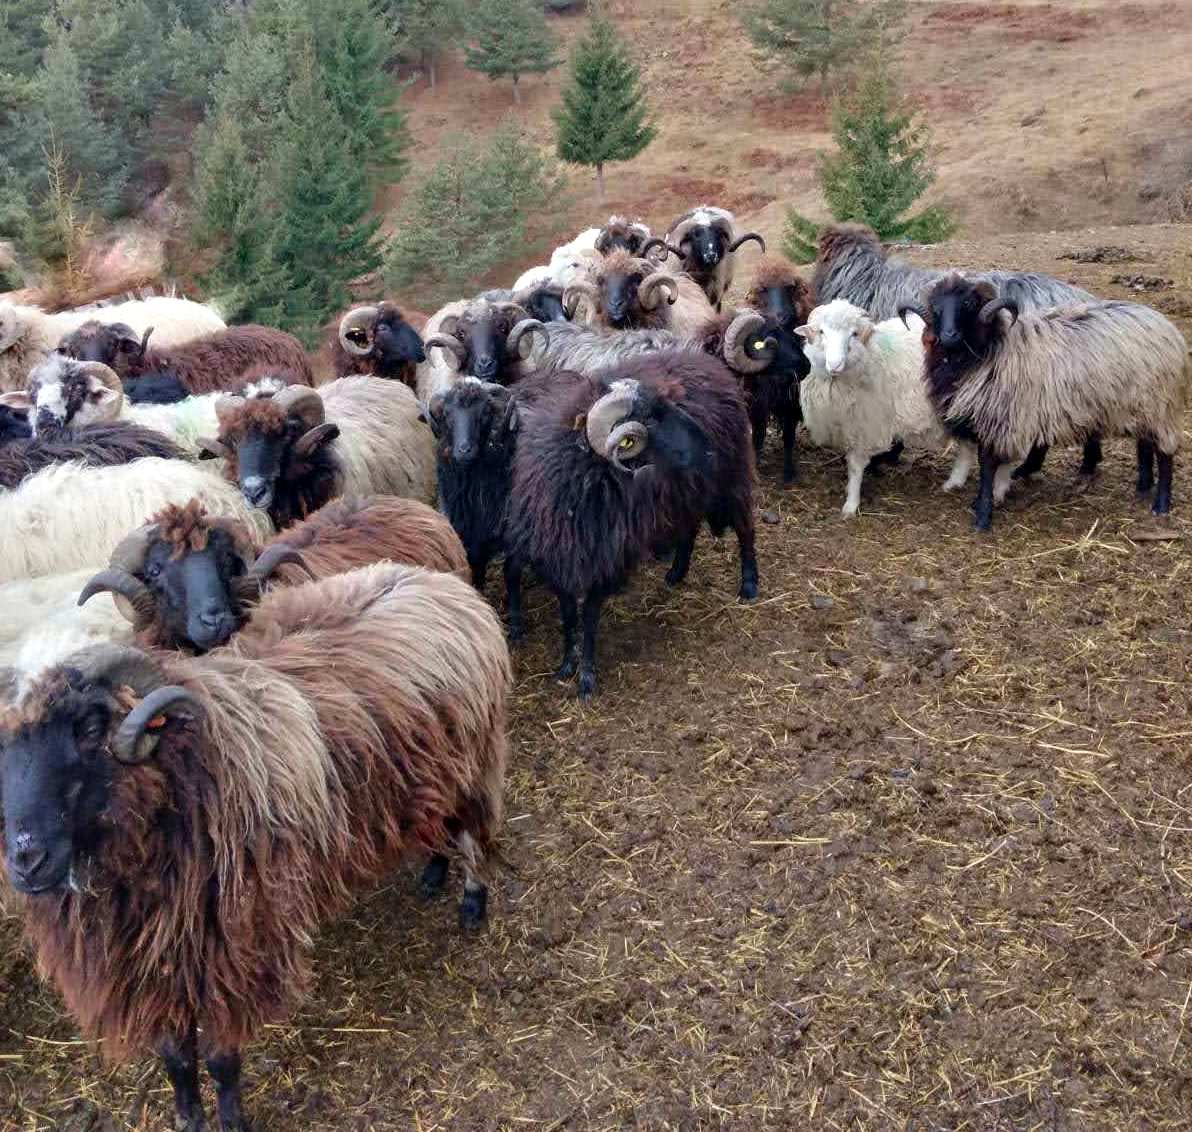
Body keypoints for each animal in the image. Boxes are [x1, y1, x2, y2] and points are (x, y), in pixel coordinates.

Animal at [0, 560, 511, 1131]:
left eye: (89, 728)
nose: (27, 860)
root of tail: (439, 582)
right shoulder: (155, 965)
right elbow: (176, 1059)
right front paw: (189, 1117)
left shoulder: (233, 950)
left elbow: (221, 1059)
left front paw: (232, 1120)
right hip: (428, 777)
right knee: (436, 824)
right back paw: (432, 874)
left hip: (473, 760)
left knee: (471, 832)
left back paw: (472, 901)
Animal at [423, 380, 524, 639]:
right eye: (447, 415)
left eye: (485, 414)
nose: (464, 450)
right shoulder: (466, 530)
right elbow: (476, 566)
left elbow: (511, 573)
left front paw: (516, 626)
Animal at [506, 350, 757, 697]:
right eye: (650, 418)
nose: (708, 450)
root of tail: (711, 364)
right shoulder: (561, 560)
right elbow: (569, 617)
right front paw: (566, 665)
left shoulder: (604, 562)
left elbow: (589, 620)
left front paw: (587, 677)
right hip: (688, 491)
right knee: (689, 528)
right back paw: (676, 573)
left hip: (731, 477)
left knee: (745, 528)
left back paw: (749, 584)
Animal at [795, 299, 963, 517]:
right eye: (822, 331)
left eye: (854, 333)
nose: (835, 364)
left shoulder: (866, 424)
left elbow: (855, 467)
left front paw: (851, 504)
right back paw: (956, 482)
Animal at [903, 273, 1190, 530]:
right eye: (936, 306)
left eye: (968, 303)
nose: (948, 335)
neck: (992, 349)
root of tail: (1164, 325)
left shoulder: (1001, 420)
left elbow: (988, 468)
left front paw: (983, 515)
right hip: (1141, 404)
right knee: (1145, 444)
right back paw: (1143, 486)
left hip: (1159, 405)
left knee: (1164, 453)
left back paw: (1161, 505)